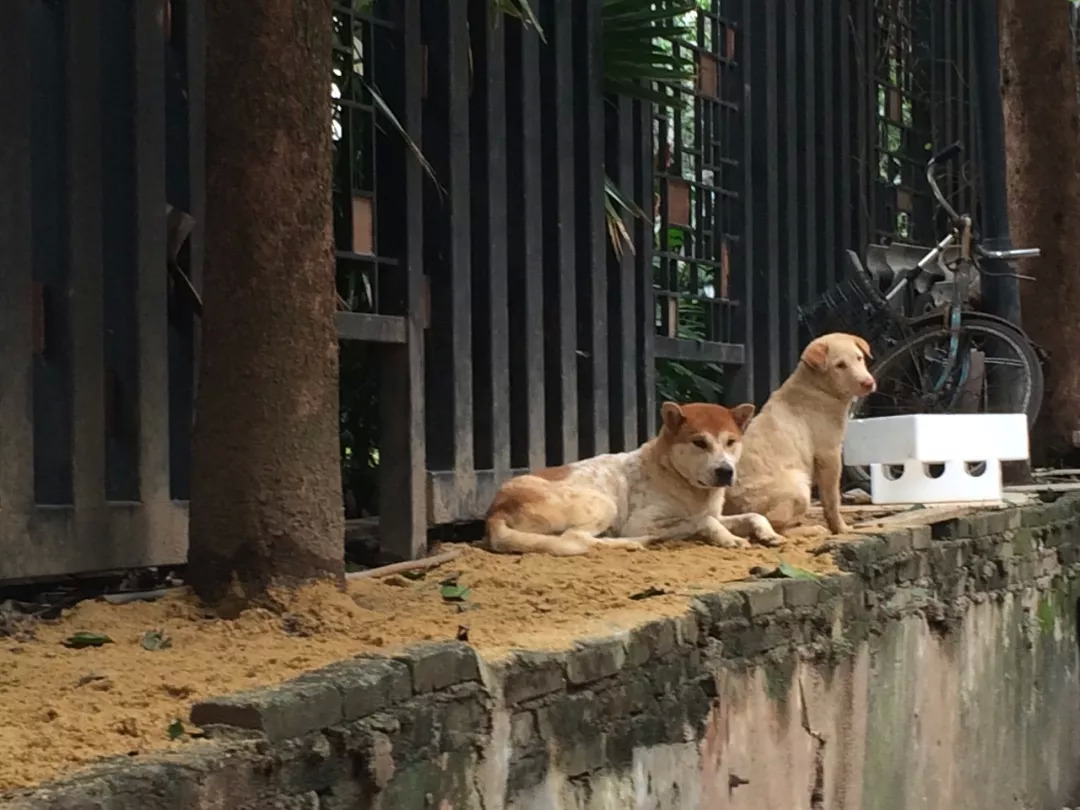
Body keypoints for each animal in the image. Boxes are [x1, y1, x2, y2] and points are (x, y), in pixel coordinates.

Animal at [484, 401, 783, 556]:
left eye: (731, 442)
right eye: (700, 443)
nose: (725, 471)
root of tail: (495, 510)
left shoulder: (717, 512)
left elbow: (754, 515)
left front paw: (769, 534)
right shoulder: (641, 522)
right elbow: (704, 521)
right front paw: (728, 539)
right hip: (603, 504)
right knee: (576, 539)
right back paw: (631, 543)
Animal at [724, 332, 876, 535]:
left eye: (859, 358)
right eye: (840, 365)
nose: (868, 383)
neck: (816, 387)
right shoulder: (829, 455)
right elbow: (832, 499)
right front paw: (841, 528)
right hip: (799, 485)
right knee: (776, 525)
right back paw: (812, 529)